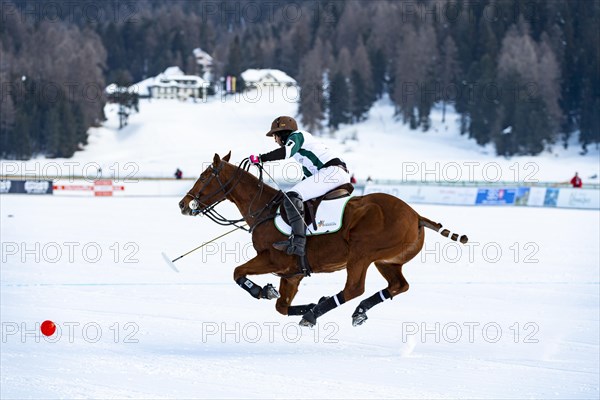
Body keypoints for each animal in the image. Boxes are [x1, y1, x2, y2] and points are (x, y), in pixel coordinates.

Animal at [178, 152, 468, 326]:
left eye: (204, 176)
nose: (183, 204)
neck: (263, 209)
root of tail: (417, 215)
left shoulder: (273, 259)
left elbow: (238, 272)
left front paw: (262, 290)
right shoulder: (292, 273)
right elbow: (281, 306)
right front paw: (300, 301)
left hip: (362, 253)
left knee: (354, 289)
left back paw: (318, 313)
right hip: (387, 260)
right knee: (399, 285)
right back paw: (355, 310)